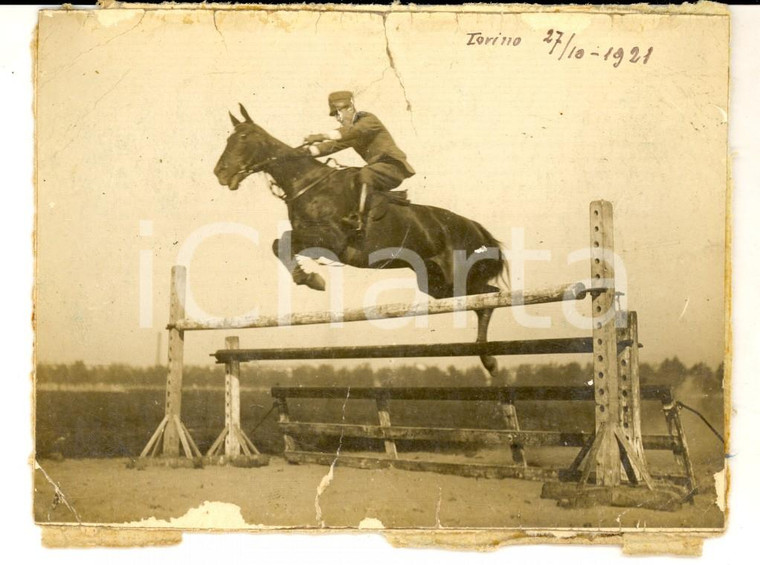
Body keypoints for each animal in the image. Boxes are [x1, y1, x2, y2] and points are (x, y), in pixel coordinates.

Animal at [214, 104, 510, 382]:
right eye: (229, 138)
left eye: (243, 137)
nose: (220, 173)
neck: (309, 184)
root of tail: (476, 228)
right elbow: (279, 244)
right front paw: (308, 278)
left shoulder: (331, 239)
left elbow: (283, 242)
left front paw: (311, 279)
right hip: (436, 285)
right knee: (484, 297)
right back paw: (487, 358)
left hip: (454, 278)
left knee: (489, 298)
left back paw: (489, 360)